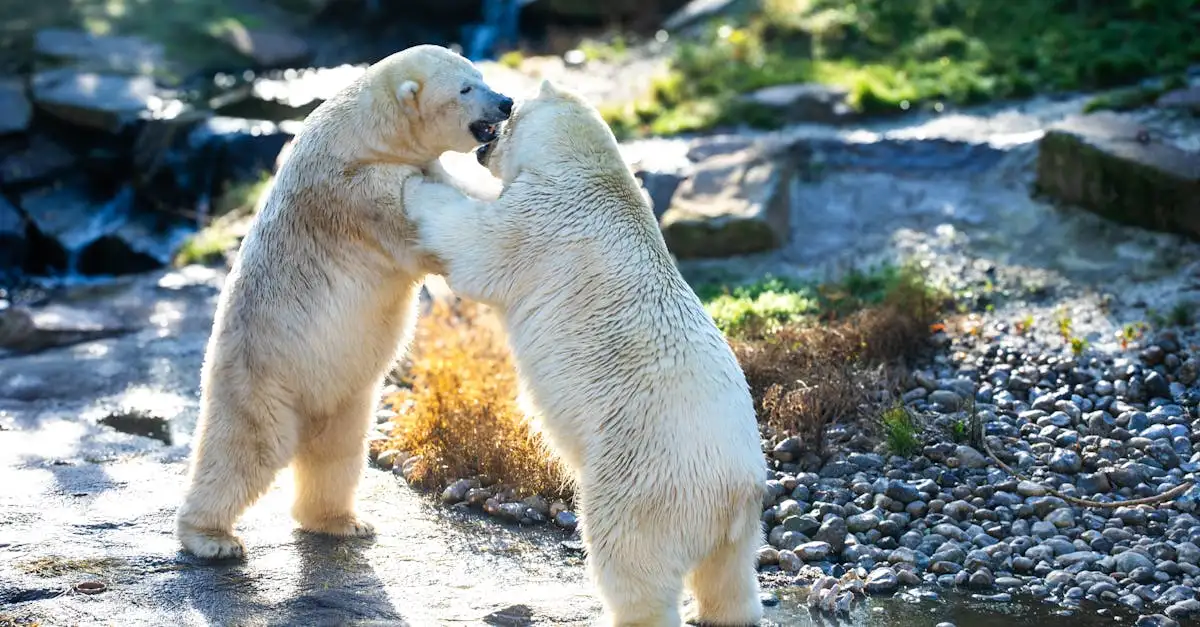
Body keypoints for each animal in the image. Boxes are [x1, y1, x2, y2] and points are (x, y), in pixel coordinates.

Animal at [175, 44, 514, 560]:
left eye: (481, 75)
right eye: (465, 87)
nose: (506, 102)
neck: (367, 135)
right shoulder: (353, 193)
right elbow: (419, 224)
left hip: (346, 393)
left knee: (338, 453)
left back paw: (342, 521)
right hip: (262, 376)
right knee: (245, 450)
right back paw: (212, 538)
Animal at [403, 80, 767, 626]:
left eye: (512, 109)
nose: (500, 111)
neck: (591, 170)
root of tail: (736, 492)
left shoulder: (545, 219)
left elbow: (478, 245)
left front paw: (414, 185)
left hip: (644, 479)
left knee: (631, 560)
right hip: (737, 529)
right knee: (730, 579)